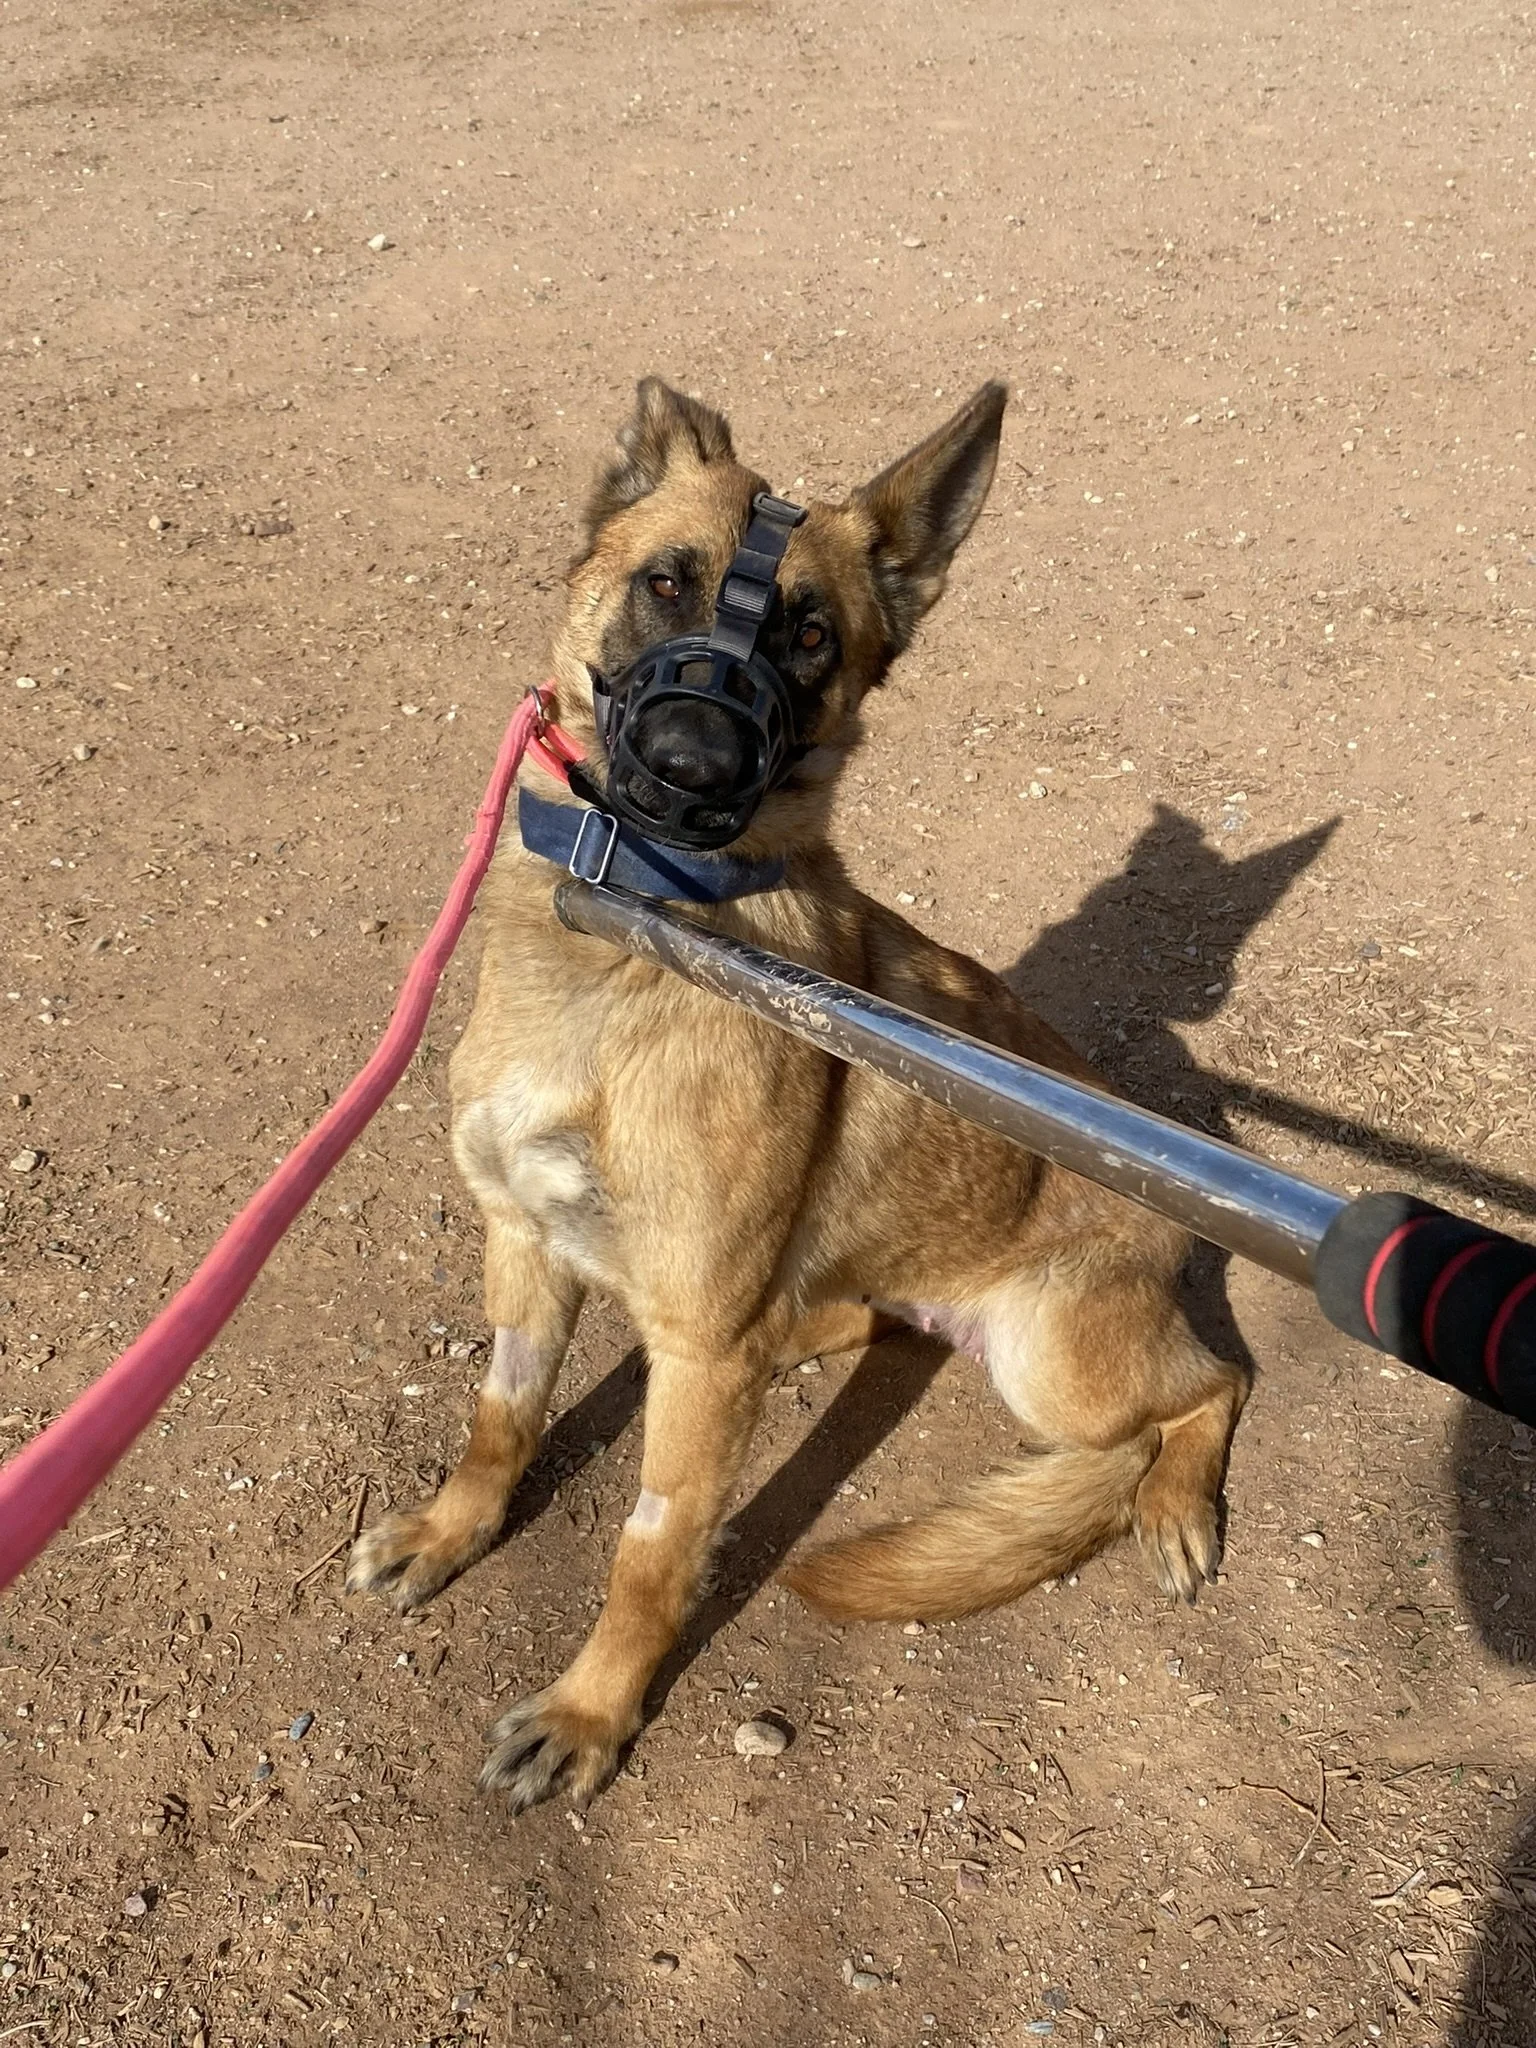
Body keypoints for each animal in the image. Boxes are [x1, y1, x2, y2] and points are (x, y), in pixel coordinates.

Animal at [346, 378, 1250, 1813]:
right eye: (667, 581)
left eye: (812, 635)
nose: (693, 753)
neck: (629, 940)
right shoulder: (527, 1243)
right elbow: (502, 1416)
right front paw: (453, 1529)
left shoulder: (699, 1348)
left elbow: (651, 1551)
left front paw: (592, 1712)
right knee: (856, 1322)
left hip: (1059, 1365)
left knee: (1212, 1382)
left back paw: (1169, 1500)